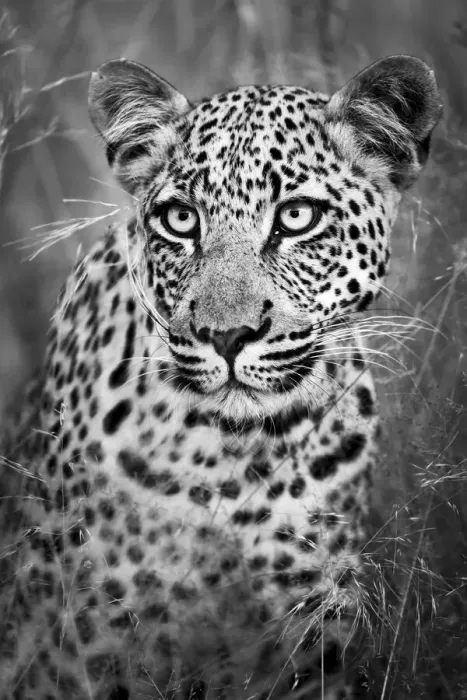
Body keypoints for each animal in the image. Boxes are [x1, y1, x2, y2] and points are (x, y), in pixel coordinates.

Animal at [0, 55, 441, 700]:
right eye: (181, 219)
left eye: (296, 217)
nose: (227, 336)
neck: (236, 457)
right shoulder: (80, 645)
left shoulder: (313, 631)